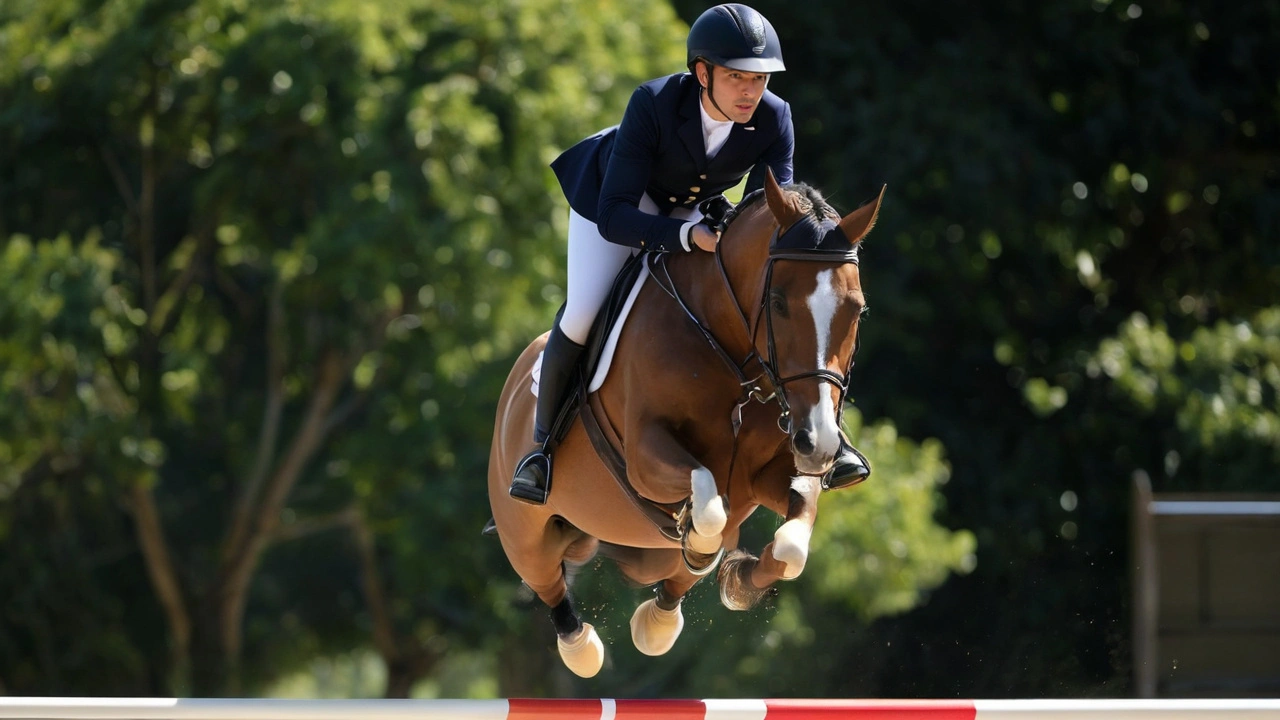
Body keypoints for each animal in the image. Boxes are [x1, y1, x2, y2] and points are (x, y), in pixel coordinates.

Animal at [483, 170, 885, 676]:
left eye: (858, 309)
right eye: (777, 303)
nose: (820, 442)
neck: (730, 355)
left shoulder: (768, 474)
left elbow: (791, 542)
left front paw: (741, 581)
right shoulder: (644, 456)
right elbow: (709, 504)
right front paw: (702, 543)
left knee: (672, 573)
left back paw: (657, 622)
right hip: (524, 531)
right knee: (547, 580)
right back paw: (585, 648)